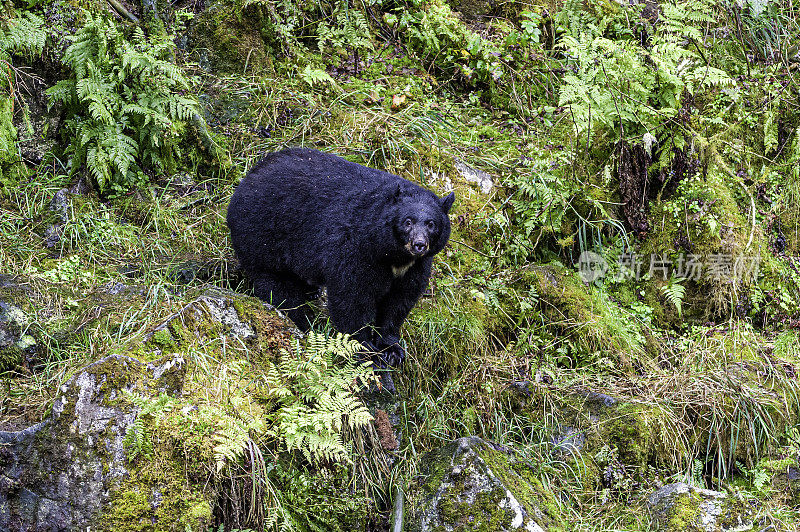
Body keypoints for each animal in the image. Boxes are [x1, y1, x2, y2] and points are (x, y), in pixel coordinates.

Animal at [228, 148, 454, 368]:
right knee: (277, 285)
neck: (393, 255)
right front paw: (365, 351)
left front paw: (391, 349)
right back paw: (303, 321)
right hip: (264, 236)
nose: (419, 244)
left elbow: (399, 301)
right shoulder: (356, 251)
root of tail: (247, 178)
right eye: (408, 221)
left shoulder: (415, 267)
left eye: (431, 224)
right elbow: (352, 299)